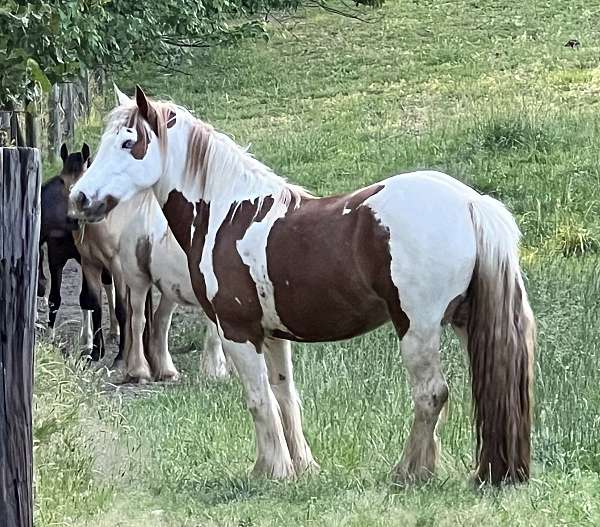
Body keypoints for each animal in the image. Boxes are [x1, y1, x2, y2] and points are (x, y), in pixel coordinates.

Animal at [69, 86, 536, 486]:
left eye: (129, 143)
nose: (79, 198)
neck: (227, 212)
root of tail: (471, 202)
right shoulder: (274, 336)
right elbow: (284, 397)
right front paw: (300, 467)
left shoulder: (238, 333)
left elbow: (258, 399)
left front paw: (270, 470)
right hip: (465, 322)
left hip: (416, 329)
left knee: (431, 395)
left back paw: (409, 471)